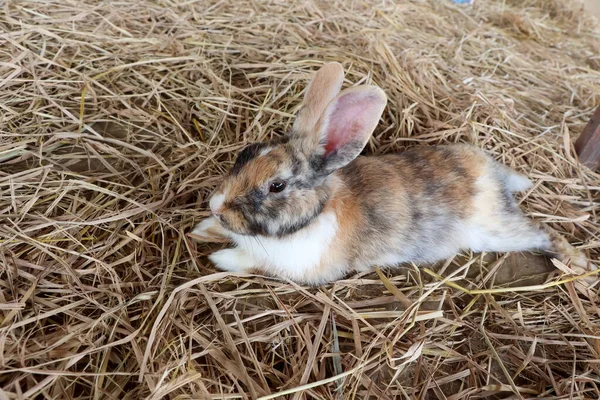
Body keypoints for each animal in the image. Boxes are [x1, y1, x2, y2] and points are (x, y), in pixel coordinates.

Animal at [191, 62, 596, 286]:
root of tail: (492, 171)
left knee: (543, 234)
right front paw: (202, 230)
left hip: (497, 231)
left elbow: (252, 262)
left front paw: (219, 258)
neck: (313, 216)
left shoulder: (297, 266)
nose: (216, 206)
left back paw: (581, 265)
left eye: (276, 186)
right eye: (246, 153)